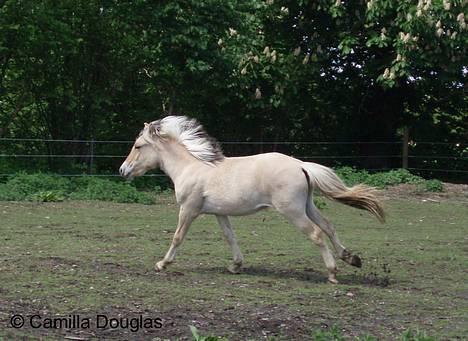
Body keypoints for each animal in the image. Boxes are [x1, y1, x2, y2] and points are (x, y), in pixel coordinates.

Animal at [118, 115, 384, 282]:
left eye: (138, 146)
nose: (123, 170)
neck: (191, 168)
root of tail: (301, 165)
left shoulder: (189, 209)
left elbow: (177, 237)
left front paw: (162, 264)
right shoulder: (219, 213)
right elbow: (230, 237)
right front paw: (235, 265)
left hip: (292, 211)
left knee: (317, 234)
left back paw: (332, 272)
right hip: (307, 206)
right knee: (328, 226)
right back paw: (352, 258)